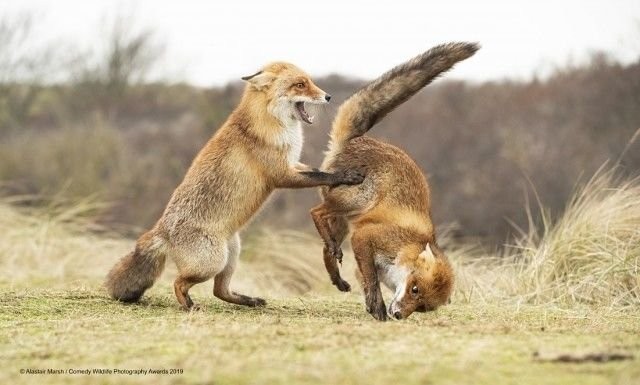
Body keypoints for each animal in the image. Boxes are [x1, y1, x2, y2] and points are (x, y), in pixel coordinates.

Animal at [107, 62, 362, 308]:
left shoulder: (293, 164)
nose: (328, 96)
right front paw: (348, 176)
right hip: (212, 262)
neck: (272, 124)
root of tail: (161, 230)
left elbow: (317, 171)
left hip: (232, 254)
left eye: (310, 81)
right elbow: (323, 176)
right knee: (178, 283)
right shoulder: (281, 175)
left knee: (219, 291)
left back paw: (250, 301)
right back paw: (189, 306)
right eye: (300, 85)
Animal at [310, 42, 480, 320]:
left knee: (327, 248)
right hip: (356, 201)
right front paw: (378, 307)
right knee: (316, 212)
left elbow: (364, 280)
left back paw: (337, 277)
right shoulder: (365, 238)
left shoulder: (361, 254)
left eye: (422, 307)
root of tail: (356, 140)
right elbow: (371, 280)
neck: (406, 248)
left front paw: (372, 306)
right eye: (414, 289)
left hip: (343, 222)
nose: (399, 315)